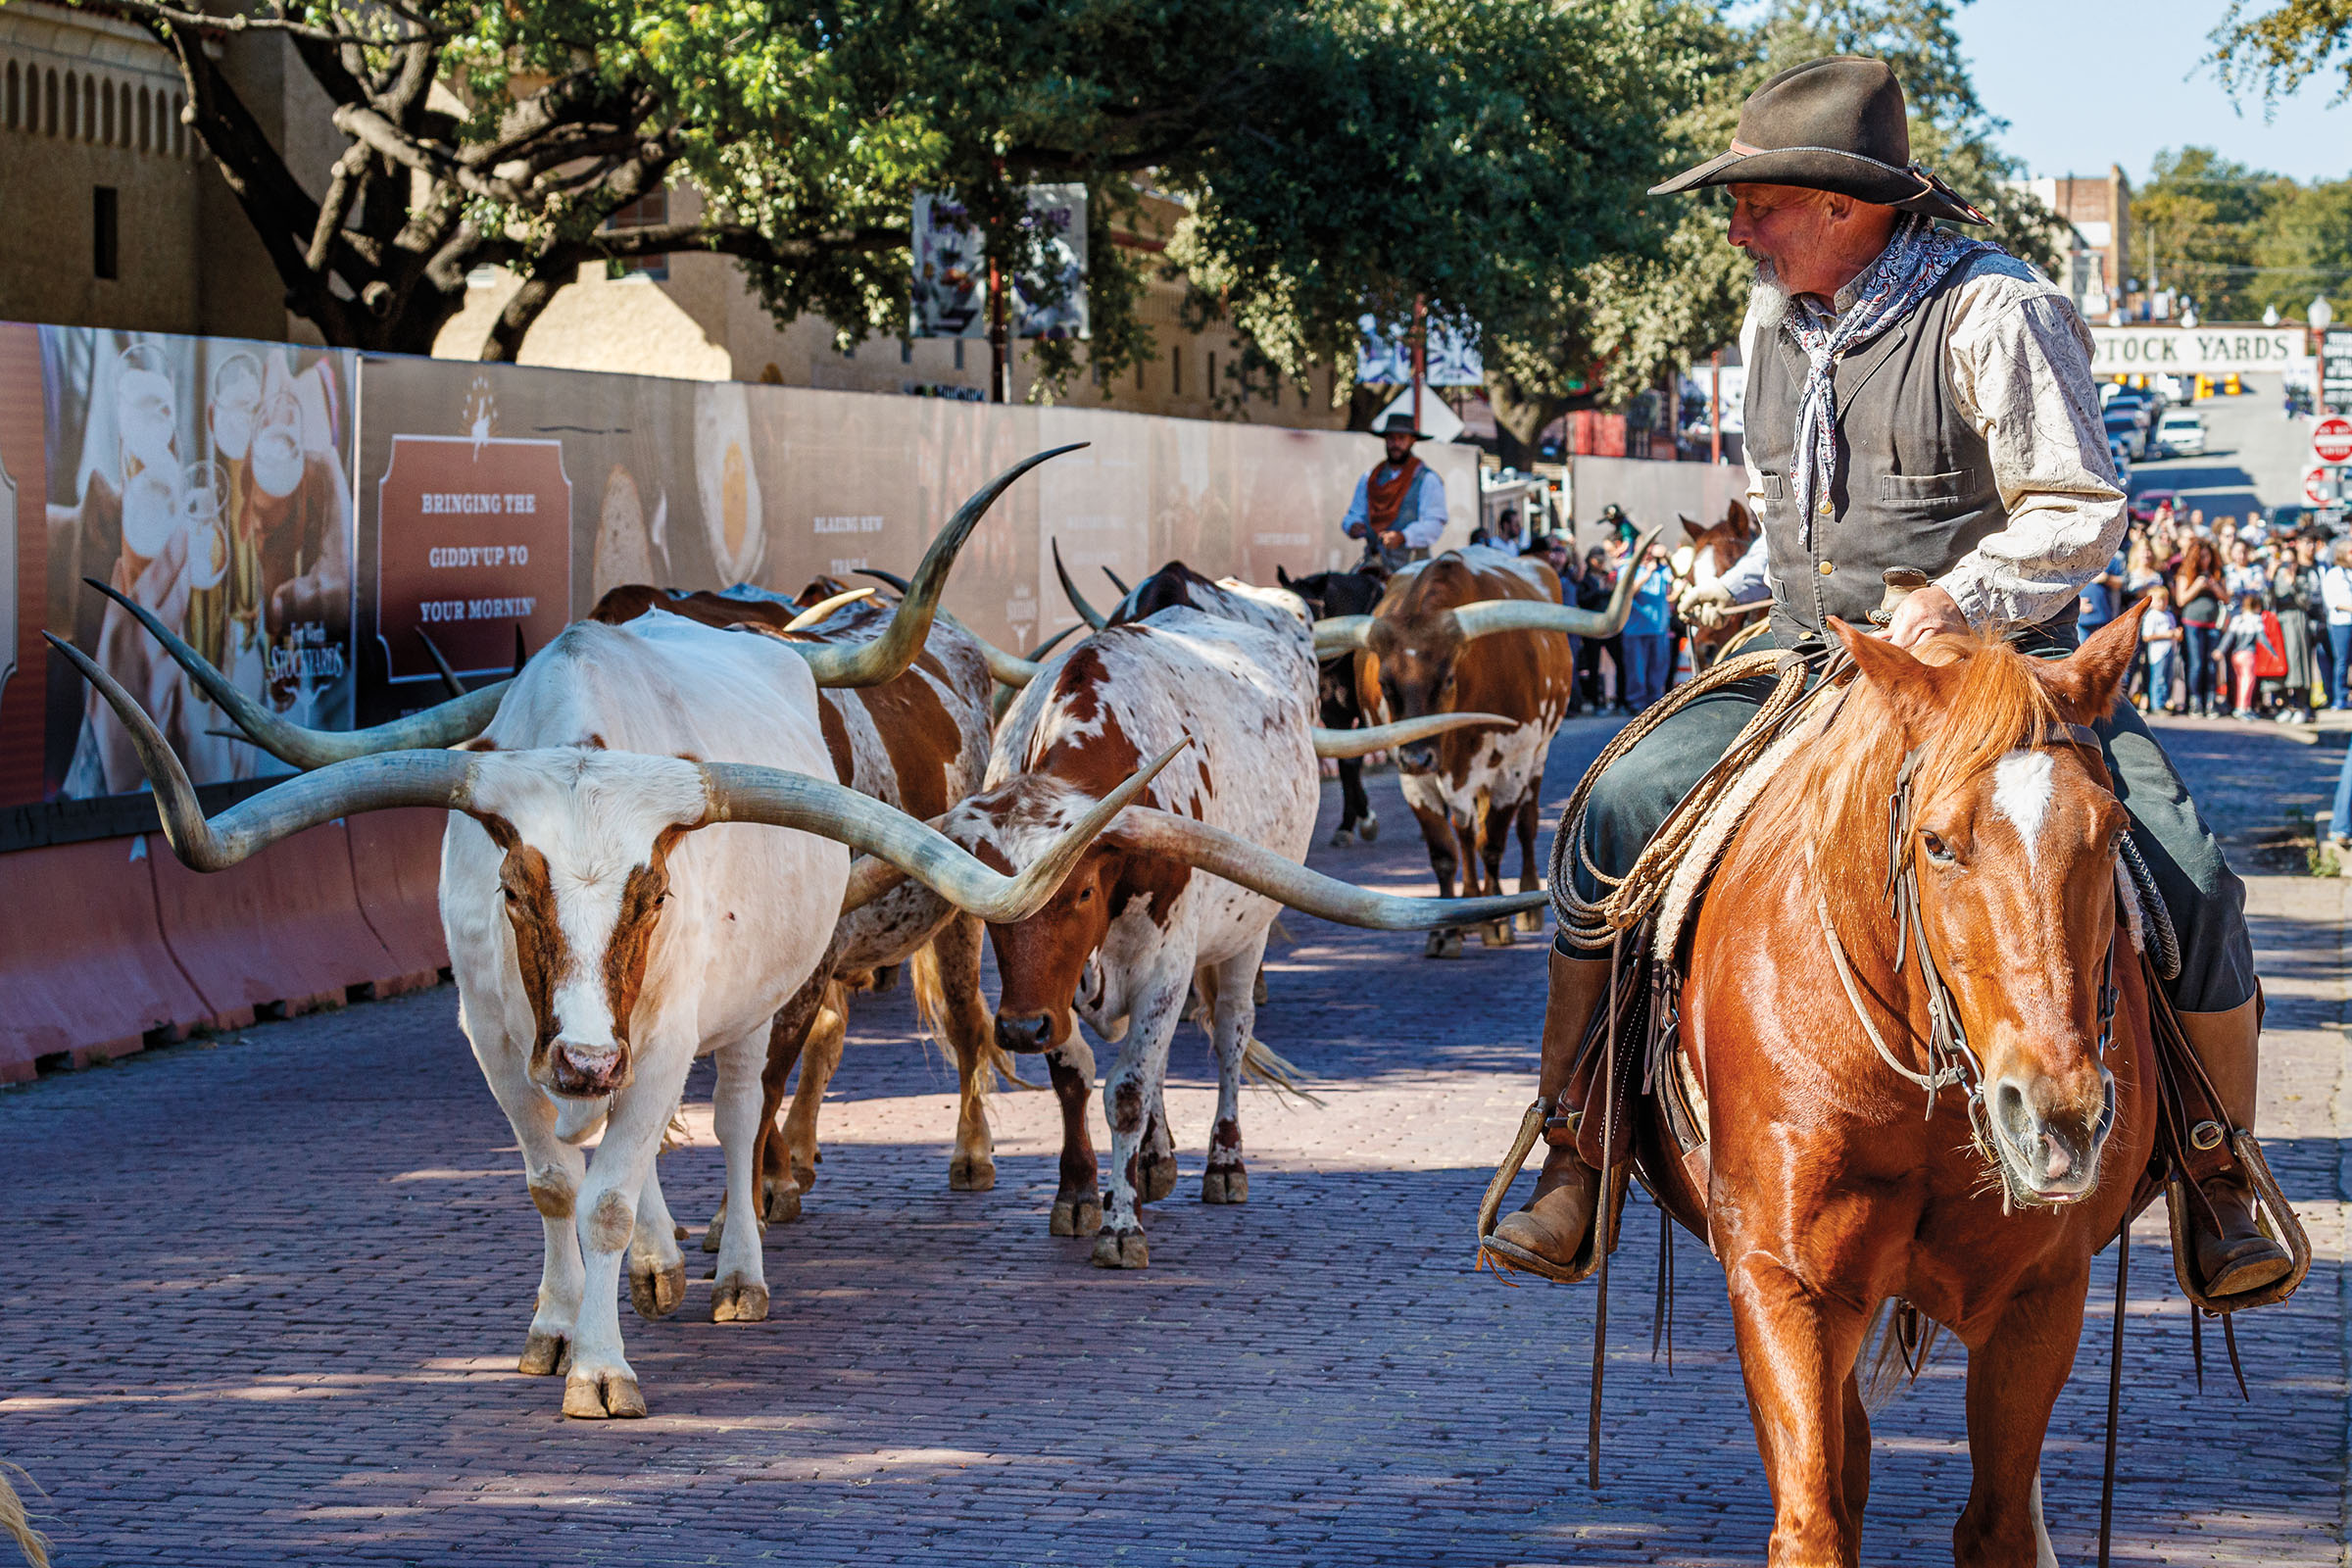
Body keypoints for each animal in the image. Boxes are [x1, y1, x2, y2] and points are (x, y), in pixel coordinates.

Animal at [1279, 555, 1383, 846]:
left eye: (1306, 614)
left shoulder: (1368, 713)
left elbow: (1352, 760)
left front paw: (1365, 819)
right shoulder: (1334, 715)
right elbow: (1346, 763)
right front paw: (1349, 823)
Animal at [1637, 611, 2154, 1568]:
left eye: (2110, 833)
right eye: (1937, 842)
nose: (2059, 1115)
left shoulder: (2042, 1295)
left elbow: (1997, 1526)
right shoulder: (1782, 1281)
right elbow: (1814, 1519)